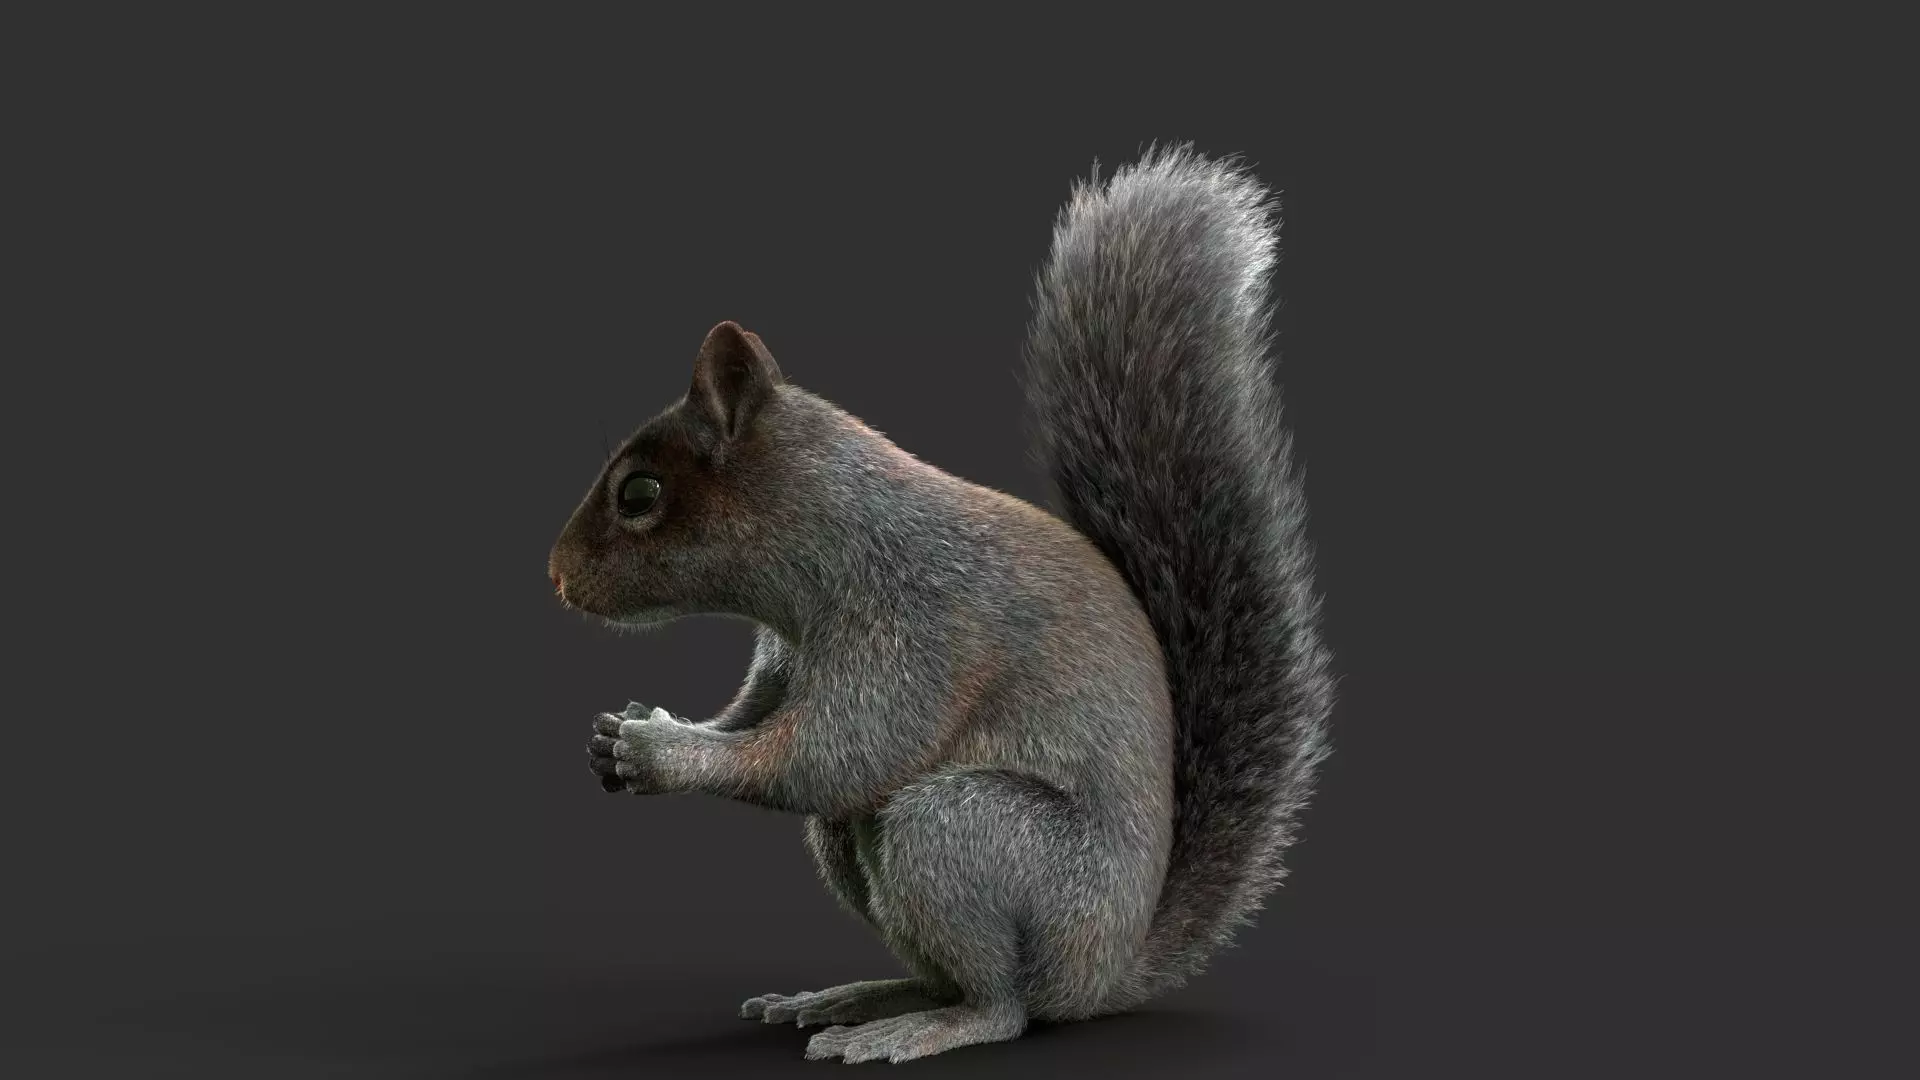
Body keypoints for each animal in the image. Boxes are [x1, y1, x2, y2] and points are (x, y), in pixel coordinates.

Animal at [548, 144, 1334, 1064]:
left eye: (639, 493)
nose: (555, 576)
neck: (832, 544)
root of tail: (1105, 974)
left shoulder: (916, 628)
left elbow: (831, 755)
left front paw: (660, 750)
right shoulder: (781, 654)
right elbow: (755, 717)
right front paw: (645, 724)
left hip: (971, 837)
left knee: (1003, 1003)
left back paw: (926, 1026)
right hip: (862, 851)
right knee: (928, 950)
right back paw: (862, 996)